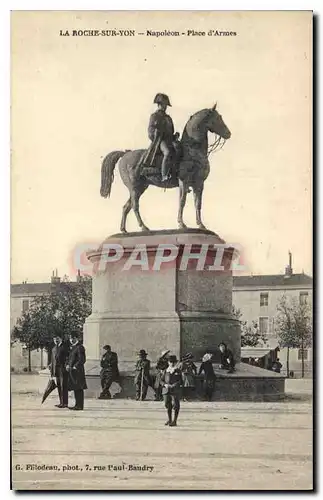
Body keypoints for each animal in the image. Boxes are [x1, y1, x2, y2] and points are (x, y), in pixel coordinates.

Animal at [100, 104, 232, 233]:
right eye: (218, 118)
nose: (228, 134)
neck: (192, 151)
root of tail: (125, 154)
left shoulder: (199, 184)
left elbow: (198, 204)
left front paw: (201, 225)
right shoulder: (184, 182)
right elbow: (182, 201)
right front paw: (181, 224)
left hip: (141, 187)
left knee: (126, 207)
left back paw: (124, 229)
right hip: (134, 188)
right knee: (135, 206)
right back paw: (143, 227)